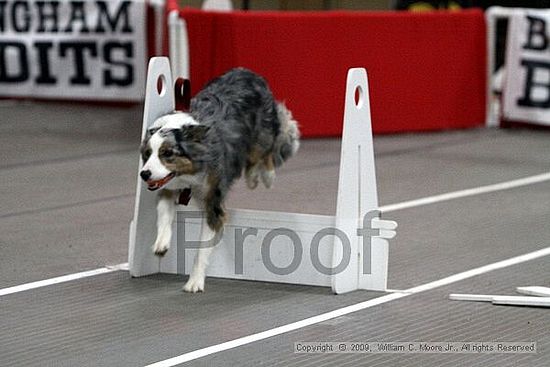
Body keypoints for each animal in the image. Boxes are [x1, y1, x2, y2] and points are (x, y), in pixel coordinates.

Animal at [140, 68, 300, 294]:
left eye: (168, 153)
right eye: (147, 154)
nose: (144, 174)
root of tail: (248, 72)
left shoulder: (213, 201)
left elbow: (201, 248)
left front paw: (194, 282)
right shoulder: (168, 185)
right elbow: (163, 213)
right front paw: (161, 243)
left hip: (263, 131)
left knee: (265, 149)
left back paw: (264, 176)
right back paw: (252, 176)